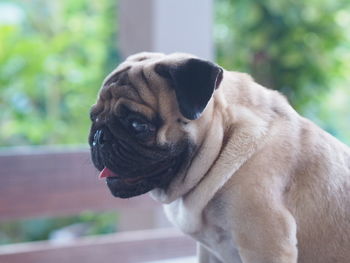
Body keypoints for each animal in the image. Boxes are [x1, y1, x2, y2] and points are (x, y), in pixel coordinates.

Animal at [88, 52, 350, 262]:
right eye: (93, 117)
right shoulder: (210, 251)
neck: (224, 138)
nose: (98, 137)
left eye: (137, 124)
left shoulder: (266, 244)